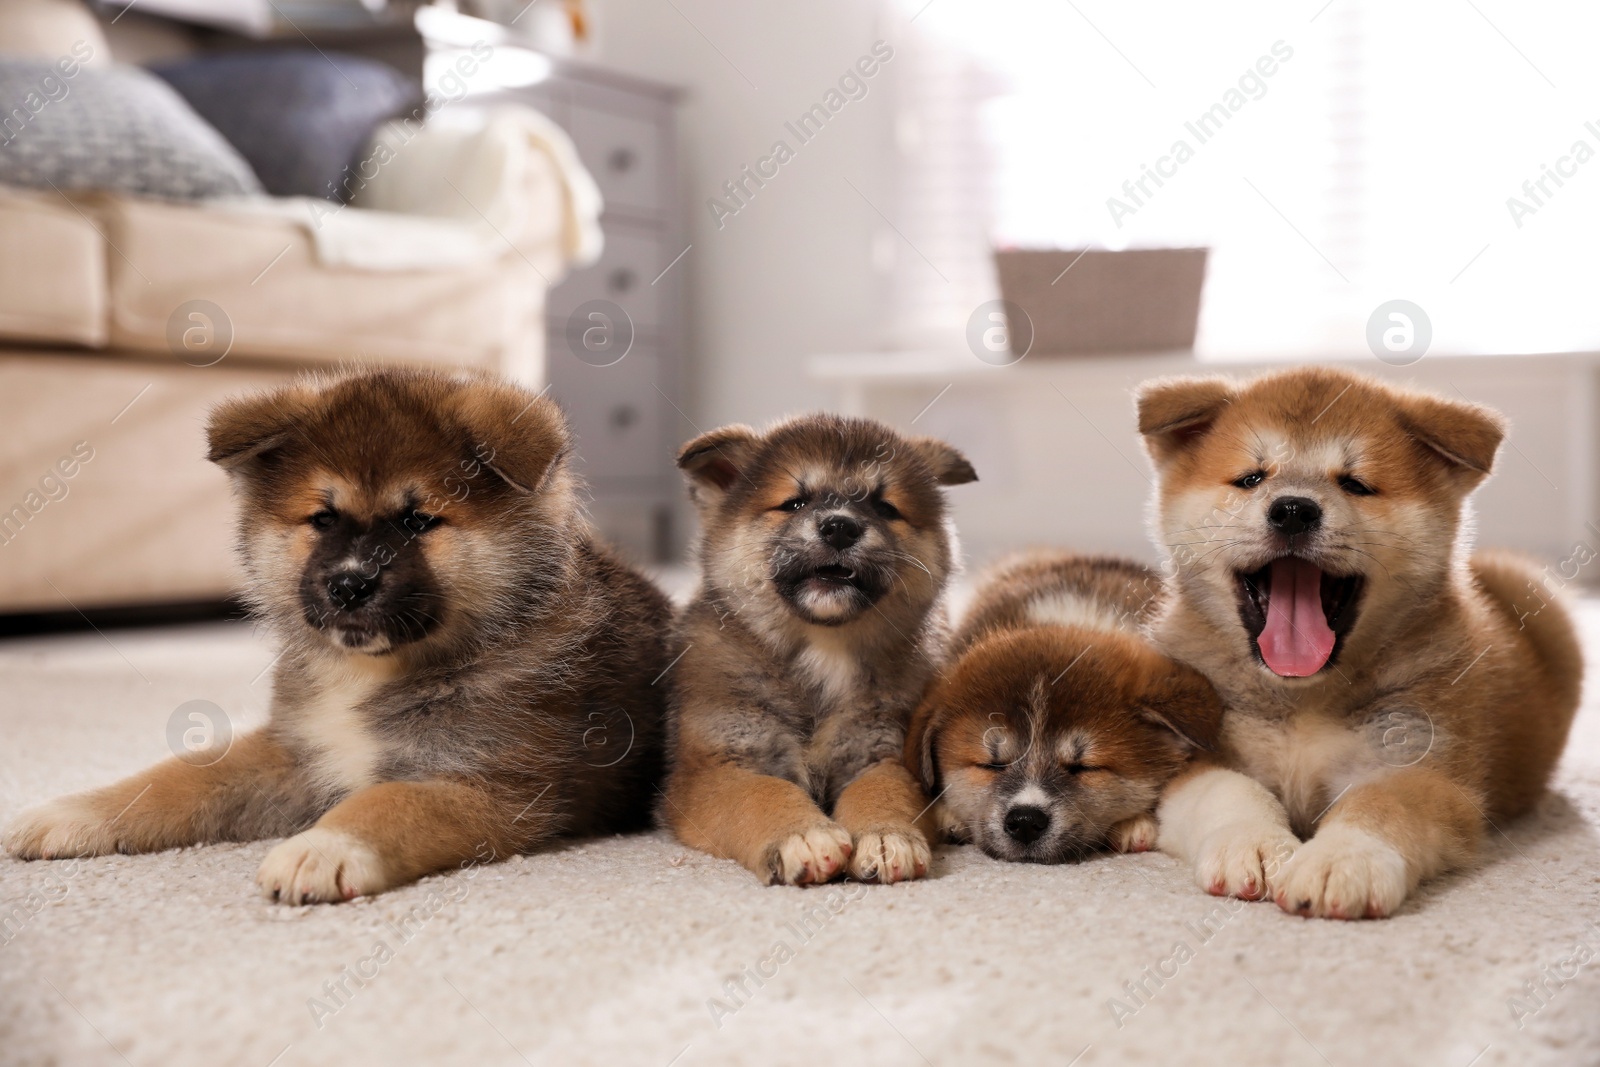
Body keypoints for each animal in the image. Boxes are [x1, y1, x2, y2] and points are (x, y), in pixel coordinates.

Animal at [6, 371, 668, 908]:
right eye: (323, 519)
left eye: (417, 521)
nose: (350, 583)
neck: (371, 673)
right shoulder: (295, 753)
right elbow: (173, 779)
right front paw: (73, 810)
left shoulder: (486, 785)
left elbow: (385, 803)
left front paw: (322, 848)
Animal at [659, 412, 972, 889]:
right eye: (794, 503)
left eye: (885, 507)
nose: (840, 526)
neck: (822, 649)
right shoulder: (717, 767)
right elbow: (762, 793)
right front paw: (802, 834)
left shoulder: (877, 753)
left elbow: (884, 790)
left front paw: (886, 835)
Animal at [1145, 364, 1580, 921]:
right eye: (1251, 478)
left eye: (1355, 484)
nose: (1293, 509)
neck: (1303, 699)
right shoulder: (1187, 758)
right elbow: (1229, 791)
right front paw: (1257, 843)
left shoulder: (1422, 767)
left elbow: (1379, 805)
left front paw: (1341, 859)